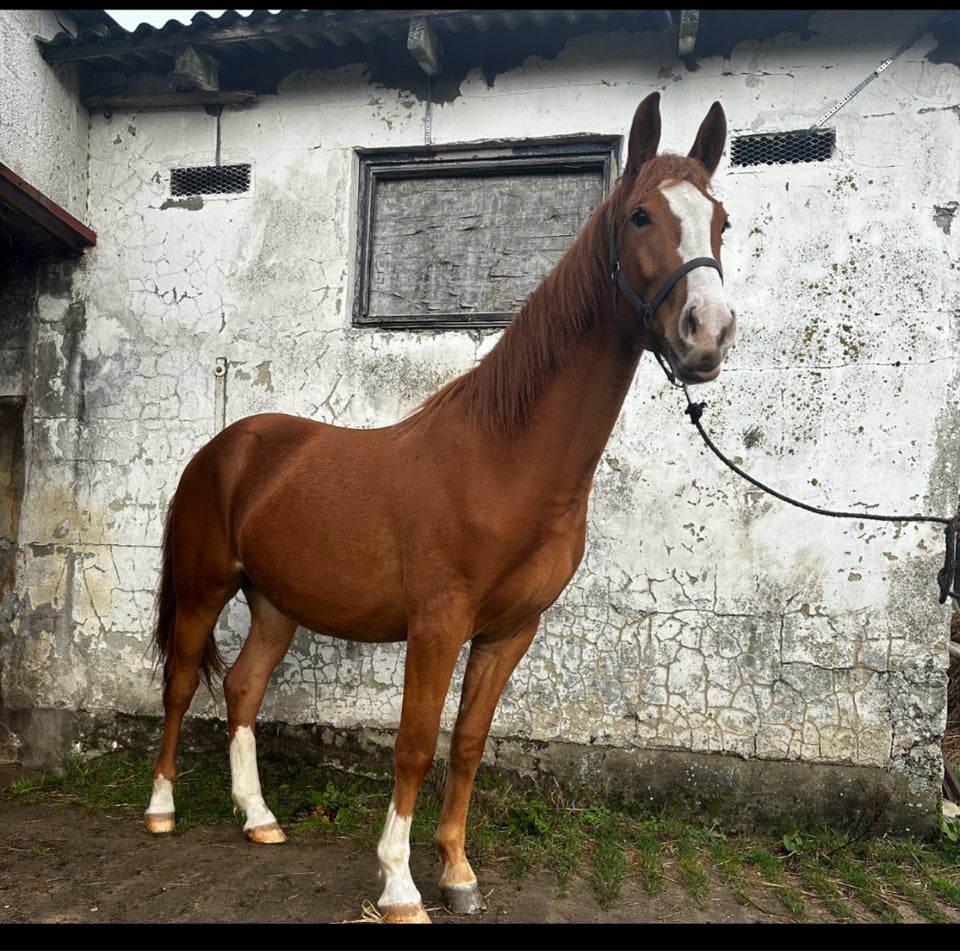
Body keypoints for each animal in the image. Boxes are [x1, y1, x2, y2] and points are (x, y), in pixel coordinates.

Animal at [144, 91, 736, 924]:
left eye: (722, 222)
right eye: (642, 216)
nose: (707, 334)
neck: (504, 459)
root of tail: (225, 448)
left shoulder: (509, 631)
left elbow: (468, 742)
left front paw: (457, 871)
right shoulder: (438, 625)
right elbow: (416, 742)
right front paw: (399, 885)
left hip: (275, 603)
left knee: (242, 688)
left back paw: (259, 817)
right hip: (204, 587)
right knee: (178, 683)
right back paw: (161, 808)